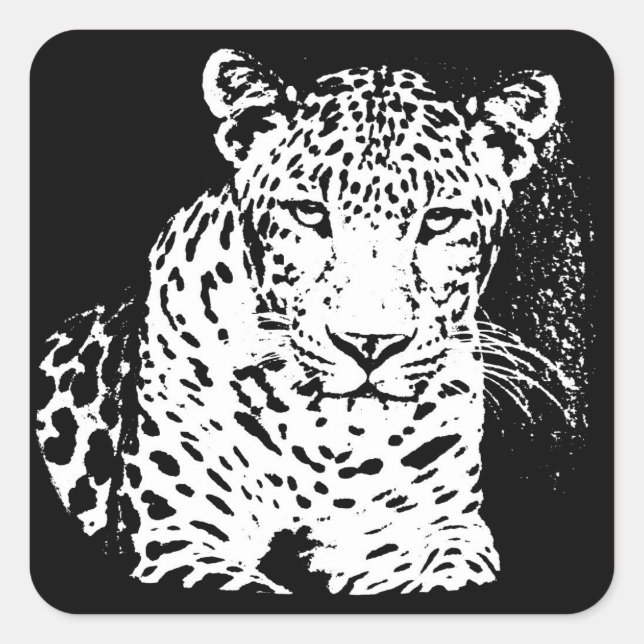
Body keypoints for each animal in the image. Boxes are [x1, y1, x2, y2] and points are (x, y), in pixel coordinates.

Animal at [34, 49, 561, 595]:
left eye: (439, 220)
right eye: (309, 212)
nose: (369, 344)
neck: (327, 435)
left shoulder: (427, 527)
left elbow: (453, 570)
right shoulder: (175, 538)